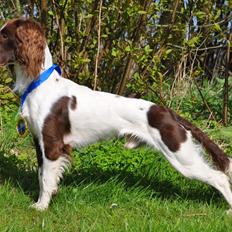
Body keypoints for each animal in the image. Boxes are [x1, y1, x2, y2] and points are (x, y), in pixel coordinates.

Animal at [0, 18, 232, 213]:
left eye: (4, 35)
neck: (38, 83)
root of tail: (167, 111)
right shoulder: (38, 141)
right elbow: (42, 176)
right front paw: (41, 202)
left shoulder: (52, 145)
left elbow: (47, 179)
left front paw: (41, 207)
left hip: (180, 154)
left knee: (220, 177)